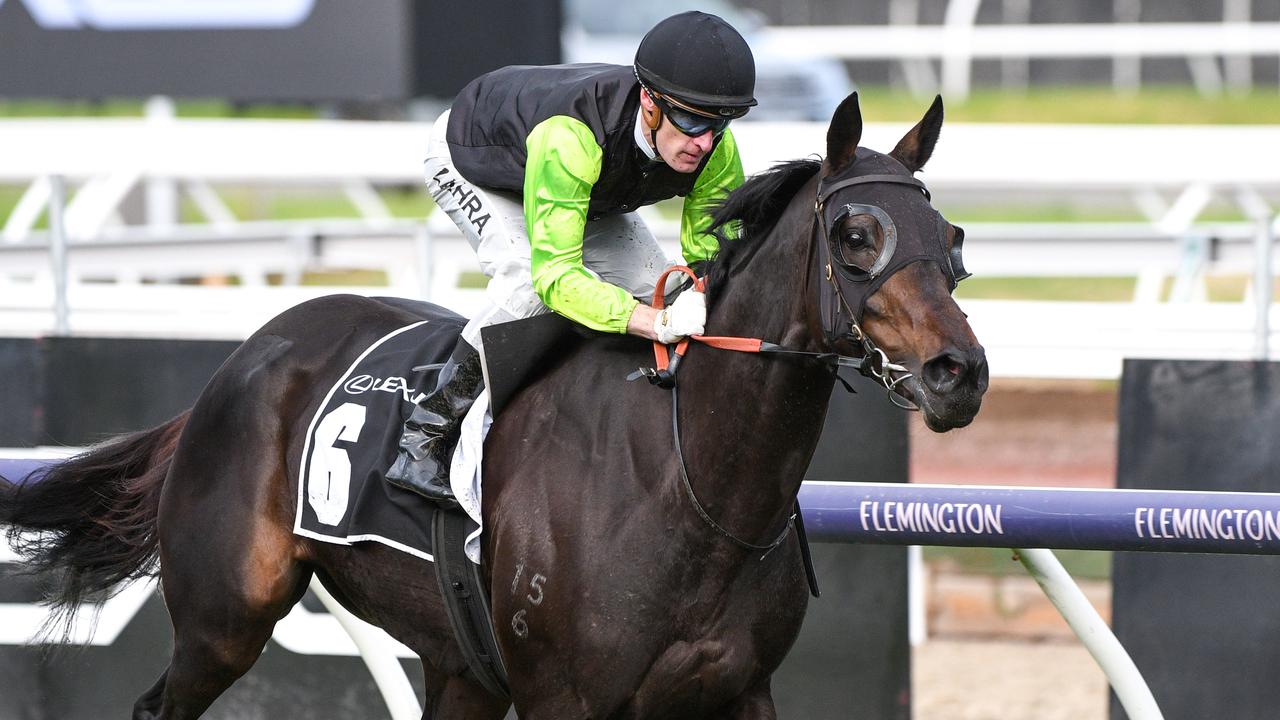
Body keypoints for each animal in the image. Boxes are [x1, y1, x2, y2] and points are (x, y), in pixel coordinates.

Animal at [0, 90, 988, 717]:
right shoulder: (566, 697)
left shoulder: (742, 690)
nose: (959, 372)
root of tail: (241, 361)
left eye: (951, 237)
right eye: (856, 235)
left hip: (457, 665)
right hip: (223, 620)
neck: (689, 478)